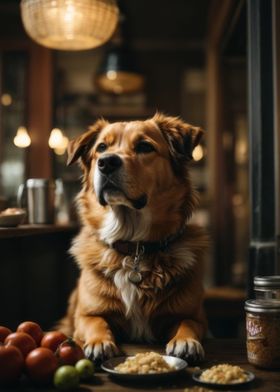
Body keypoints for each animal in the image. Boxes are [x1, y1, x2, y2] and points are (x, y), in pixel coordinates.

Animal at [59, 113, 208, 364]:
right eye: (101, 148)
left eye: (144, 147)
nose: (106, 162)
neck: (134, 245)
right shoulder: (85, 315)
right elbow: (95, 322)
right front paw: (99, 342)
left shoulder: (194, 316)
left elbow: (188, 323)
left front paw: (186, 341)